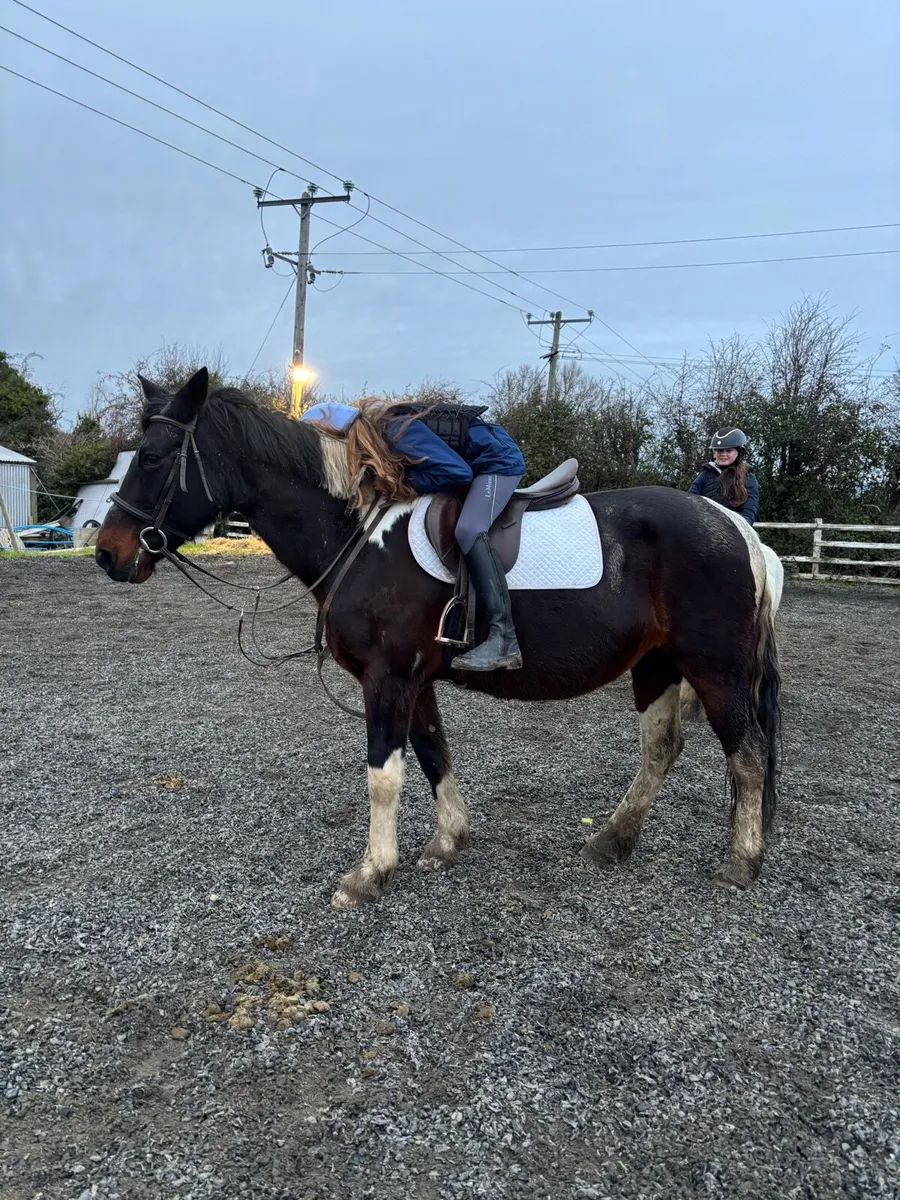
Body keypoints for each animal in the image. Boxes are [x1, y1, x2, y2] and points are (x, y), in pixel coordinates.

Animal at [95, 369, 782, 909]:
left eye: (153, 457)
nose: (107, 554)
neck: (358, 533)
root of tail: (739, 530)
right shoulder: (413, 679)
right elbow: (432, 753)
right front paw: (447, 841)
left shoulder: (388, 677)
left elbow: (384, 773)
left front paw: (371, 873)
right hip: (658, 664)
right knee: (661, 749)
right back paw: (612, 841)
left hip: (715, 668)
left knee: (747, 753)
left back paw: (741, 863)